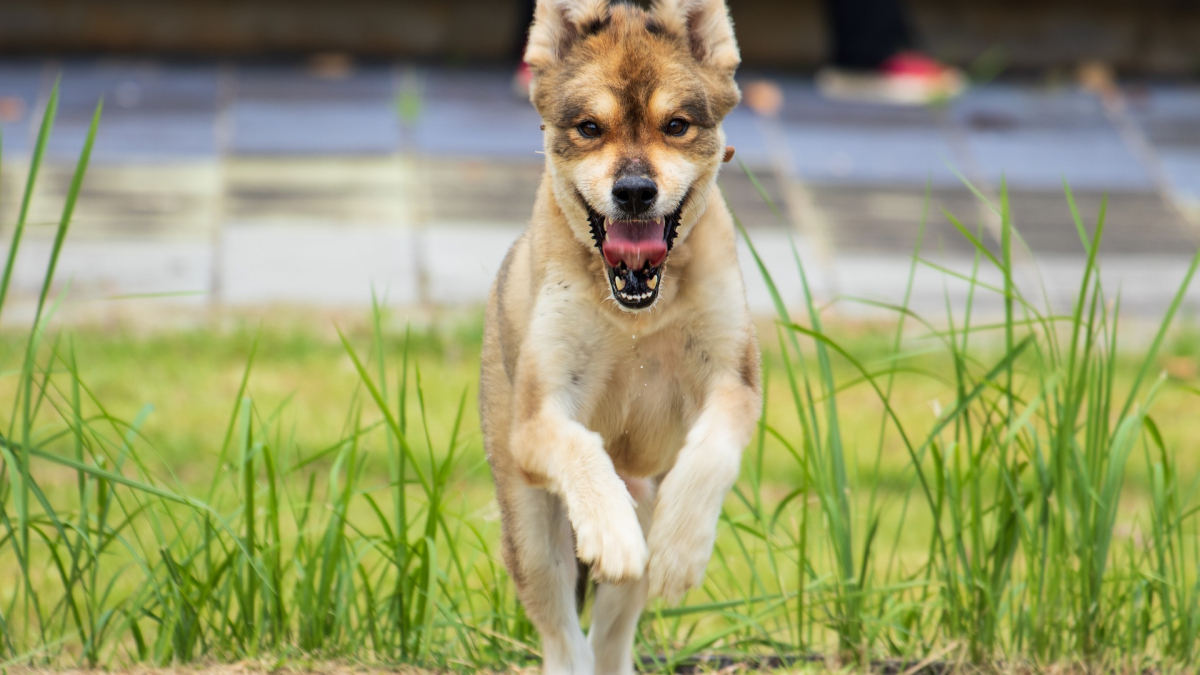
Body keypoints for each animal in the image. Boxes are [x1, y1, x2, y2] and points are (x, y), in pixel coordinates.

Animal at [477, 2, 758, 667]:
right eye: (588, 128)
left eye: (676, 125)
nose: (634, 192)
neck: (638, 315)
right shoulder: (539, 417)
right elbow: (580, 447)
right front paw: (609, 531)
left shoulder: (735, 382)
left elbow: (711, 452)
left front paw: (681, 551)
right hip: (531, 525)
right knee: (563, 634)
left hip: (644, 497)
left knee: (611, 635)